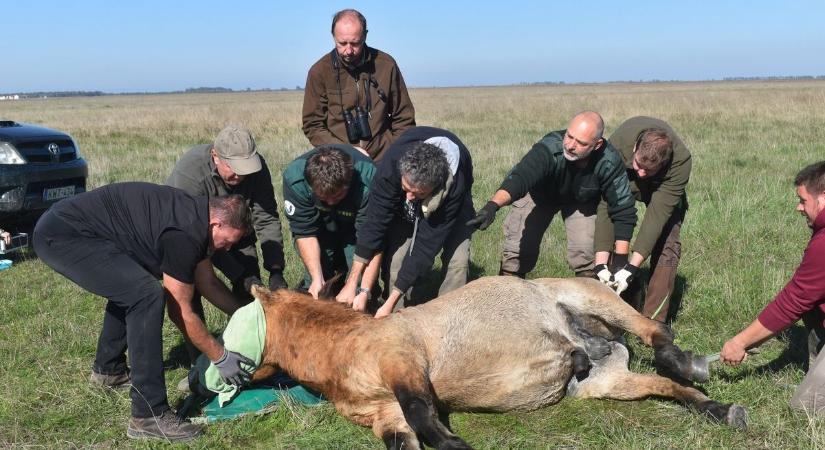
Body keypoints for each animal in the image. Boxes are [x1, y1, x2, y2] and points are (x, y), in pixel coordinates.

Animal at [248, 276, 744, 448]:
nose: (238, 372)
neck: (348, 346)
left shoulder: (405, 365)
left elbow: (426, 419)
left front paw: (458, 445)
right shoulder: (386, 415)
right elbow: (406, 438)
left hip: (592, 295)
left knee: (657, 331)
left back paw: (687, 362)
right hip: (604, 382)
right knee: (667, 387)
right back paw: (719, 408)